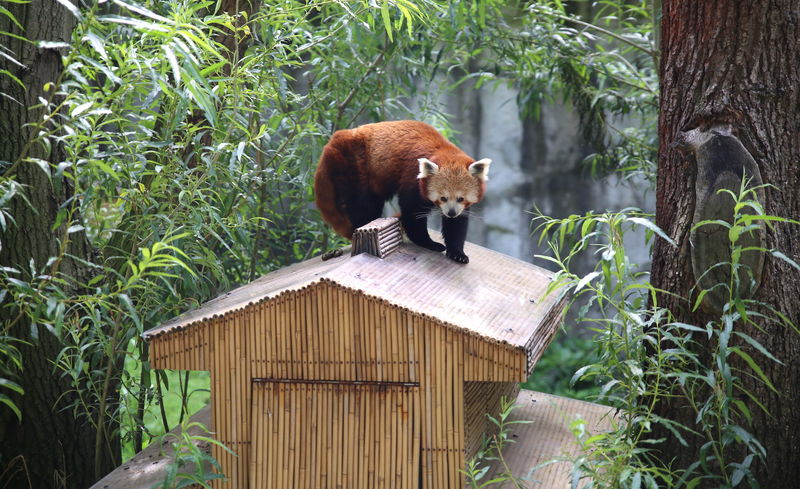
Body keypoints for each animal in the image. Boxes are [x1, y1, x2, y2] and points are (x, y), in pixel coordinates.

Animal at [314, 119, 490, 264]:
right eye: (443, 198)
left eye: (461, 198)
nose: (451, 212)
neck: (444, 150)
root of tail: (336, 138)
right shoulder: (411, 177)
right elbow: (412, 214)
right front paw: (429, 243)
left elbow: (457, 225)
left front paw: (457, 253)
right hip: (355, 166)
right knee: (363, 205)